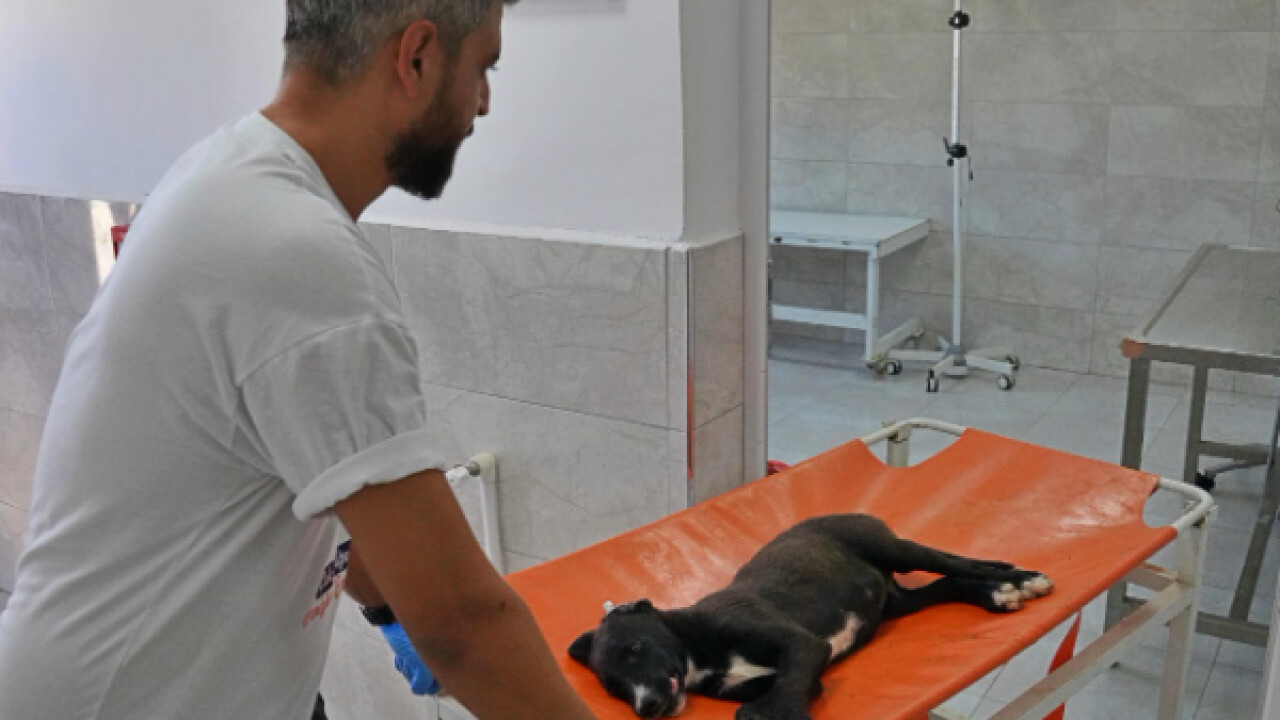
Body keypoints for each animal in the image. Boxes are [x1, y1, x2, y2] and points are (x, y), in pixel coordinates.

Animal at [569, 513, 1053, 720]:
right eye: (613, 688)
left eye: (635, 649)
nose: (646, 708)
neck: (697, 652)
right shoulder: (791, 672)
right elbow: (790, 686)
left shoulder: (800, 643)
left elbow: (778, 698)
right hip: (896, 602)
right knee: (949, 583)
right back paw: (996, 594)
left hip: (893, 548)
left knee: (958, 562)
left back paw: (1019, 578)